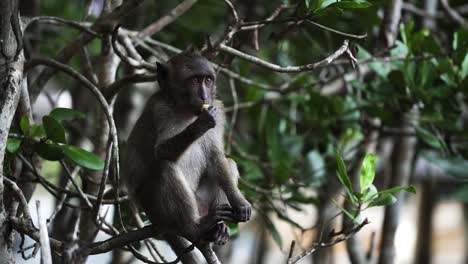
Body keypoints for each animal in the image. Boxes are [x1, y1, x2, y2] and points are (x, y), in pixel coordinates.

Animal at [121, 49, 252, 248]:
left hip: (202, 202)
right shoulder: (160, 110)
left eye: (208, 80)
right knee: (165, 167)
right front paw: (200, 124)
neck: (186, 110)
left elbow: (216, 157)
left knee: (228, 163)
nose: (205, 96)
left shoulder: (218, 110)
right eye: (195, 80)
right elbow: (161, 151)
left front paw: (240, 202)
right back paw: (194, 227)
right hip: (155, 208)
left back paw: (217, 228)